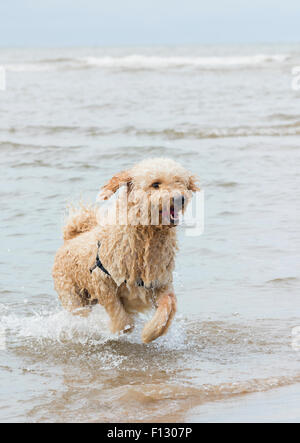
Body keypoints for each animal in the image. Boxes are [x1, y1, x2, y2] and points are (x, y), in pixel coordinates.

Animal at [53, 158, 199, 346]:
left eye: (179, 181)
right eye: (155, 184)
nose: (179, 198)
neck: (146, 237)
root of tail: (70, 239)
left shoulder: (160, 283)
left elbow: (169, 305)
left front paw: (150, 333)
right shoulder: (103, 281)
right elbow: (121, 317)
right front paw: (118, 330)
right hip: (72, 296)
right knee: (80, 314)